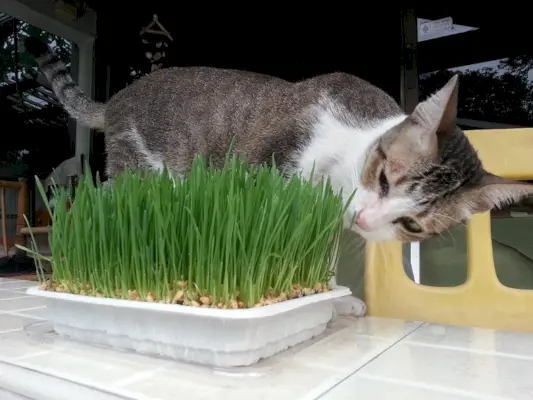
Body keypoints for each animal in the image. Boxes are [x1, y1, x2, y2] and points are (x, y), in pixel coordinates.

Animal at [25, 37, 532, 318]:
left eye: (412, 225)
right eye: (385, 178)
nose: (367, 221)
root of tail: (116, 99)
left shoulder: (323, 221)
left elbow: (321, 264)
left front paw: (336, 301)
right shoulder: (265, 169)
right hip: (140, 171)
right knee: (97, 206)